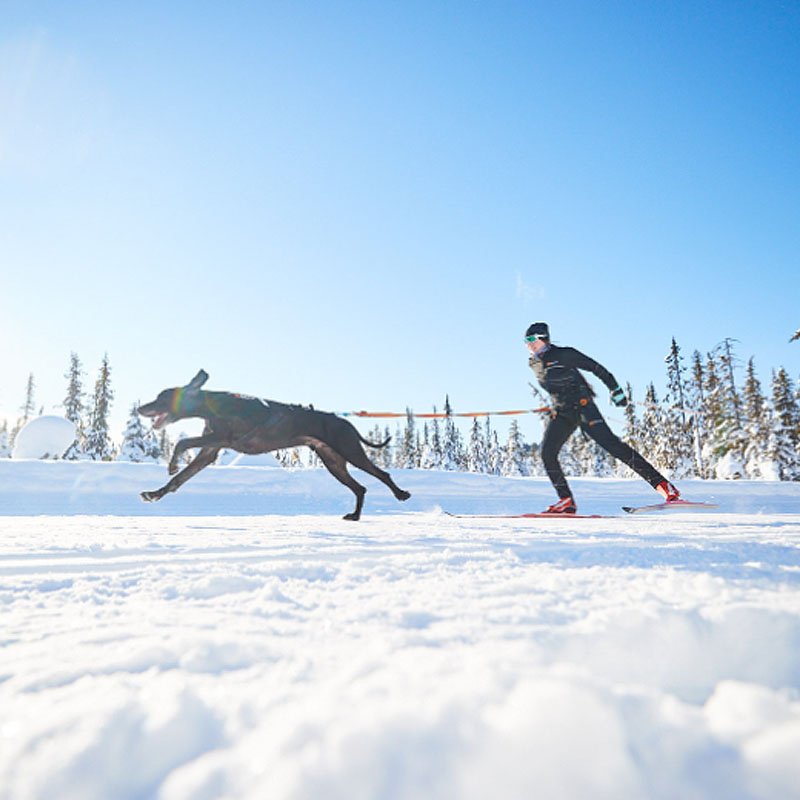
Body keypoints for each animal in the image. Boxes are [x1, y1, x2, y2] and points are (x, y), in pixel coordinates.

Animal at [137, 368, 410, 520]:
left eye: (161, 398)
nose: (140, 408)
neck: (214, 405)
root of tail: (345, 421)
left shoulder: (223, 439)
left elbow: (181, 443)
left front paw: (171, 465)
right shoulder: (209, 451)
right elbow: (178, 480)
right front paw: (154, 494)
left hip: (350, 451)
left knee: (382, 474)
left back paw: (401, 494)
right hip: (334, 462)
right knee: (360, 488)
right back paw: (355, 516)